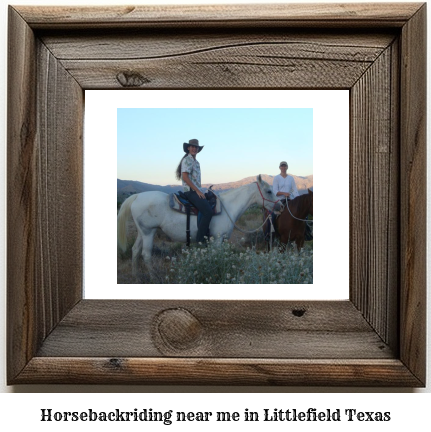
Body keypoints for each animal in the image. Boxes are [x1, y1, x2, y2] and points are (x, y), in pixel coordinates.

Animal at [117, 175, 280, 274]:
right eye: (269, 191)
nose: (280, 206)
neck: (228, 207)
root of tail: (137, 196)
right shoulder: (217, 239)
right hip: (149, 232)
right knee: (146, 254)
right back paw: (151, 277)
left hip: (141, 232)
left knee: (135, 251)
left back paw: (136, 276)